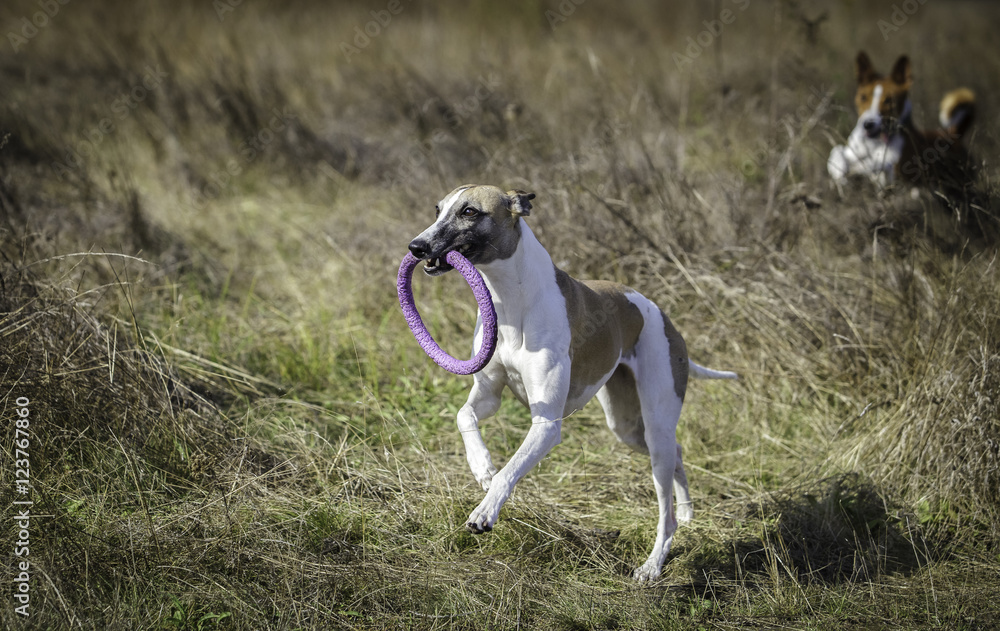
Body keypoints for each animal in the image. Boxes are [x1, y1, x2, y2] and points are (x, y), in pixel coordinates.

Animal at [406, 184, 736, 584]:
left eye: (469, 211)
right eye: (438, 209)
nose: (416, 247)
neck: (513, 299)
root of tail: (661, 314)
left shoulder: (546, 425)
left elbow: (510, 471)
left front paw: (485, 510)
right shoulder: (488, 396)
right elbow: (464, 416)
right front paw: (481, 466)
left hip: (655, 425)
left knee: (665, 510)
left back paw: (653, 563)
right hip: (626, 427)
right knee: (678, 452)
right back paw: (687, 511)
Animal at [828, 51, 976, 191]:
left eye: (889, 100)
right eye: (863, 97)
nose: (868, 124)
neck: (875, 142)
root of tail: (953, 134)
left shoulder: (895, 172)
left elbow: (877, 164)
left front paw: (859, 168)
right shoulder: (851, 152)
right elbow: (837, 151)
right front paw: (839, 170)